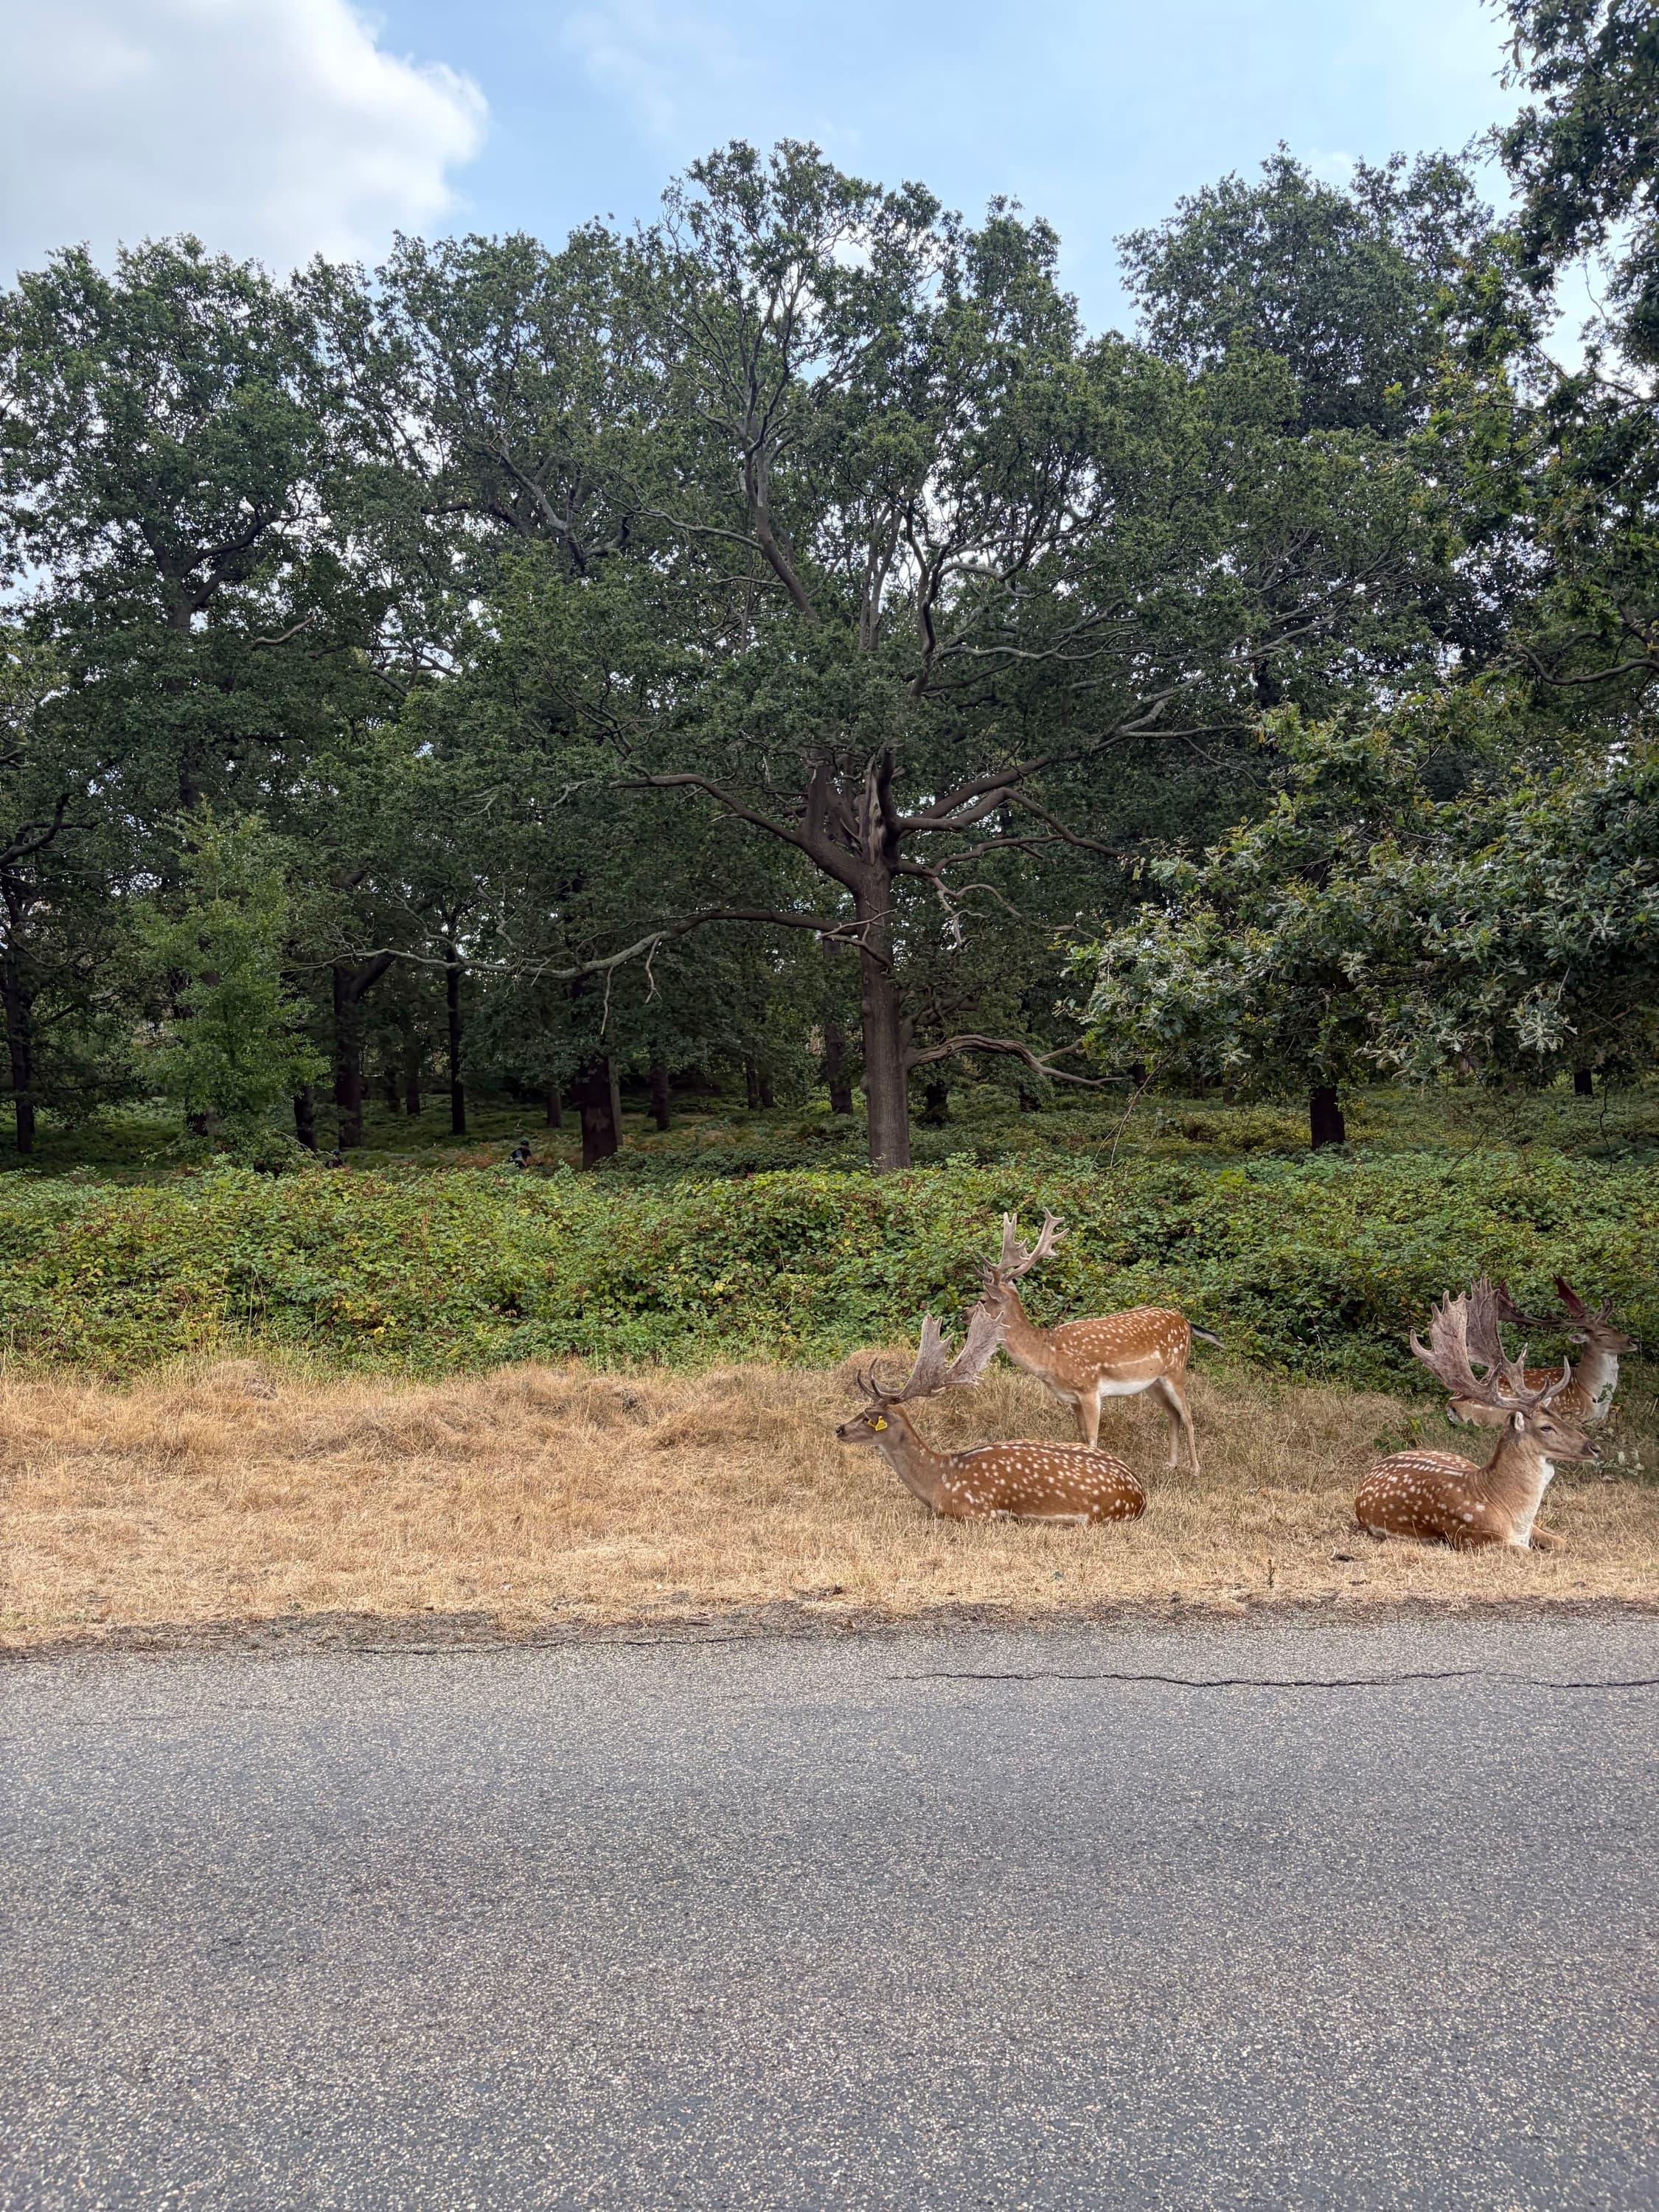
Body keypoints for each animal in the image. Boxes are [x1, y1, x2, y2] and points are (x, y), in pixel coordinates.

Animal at [975, 1213, 1220, 1474]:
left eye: (982, 1300)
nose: (964, 1315)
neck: (1049, 1356)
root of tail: (1186, 1322)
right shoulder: (1073, 1398)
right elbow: (1082, 1437)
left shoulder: (1090, 1389)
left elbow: (1092, 1438)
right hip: (1153, 1382)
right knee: (1173, 1414)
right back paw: (1171, 1463)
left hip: (1177, 1370)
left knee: (1188, 1415)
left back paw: (1195, 1468)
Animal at [1356, 1278, 1598, 1552]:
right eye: (1546, 1427)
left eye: (1560, 1417)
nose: (1594, 1448)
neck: (1512, 1516)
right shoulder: (1471, 1536)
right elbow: (1526, 1552)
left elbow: (1563, 1542)